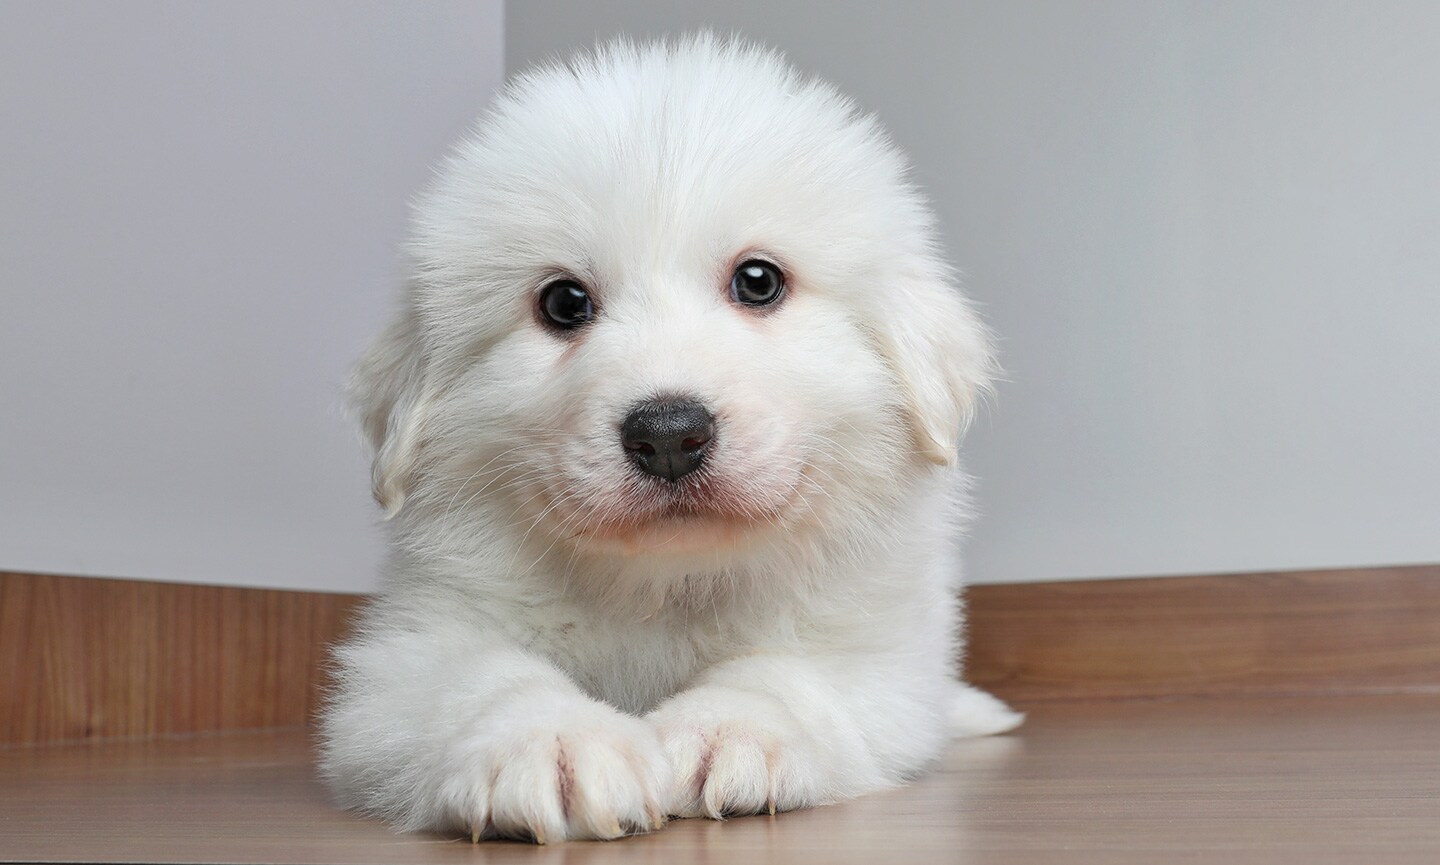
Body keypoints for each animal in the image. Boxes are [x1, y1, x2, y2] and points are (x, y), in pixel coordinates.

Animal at [324, 37, 1025, 840]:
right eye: (564, 302)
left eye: (759, 281)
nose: (667, 434)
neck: (666, 584)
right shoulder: (407, 656)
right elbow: (483, 676)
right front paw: (553, 742)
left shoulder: (876, 657)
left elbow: (785, 672)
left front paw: (729, 732)